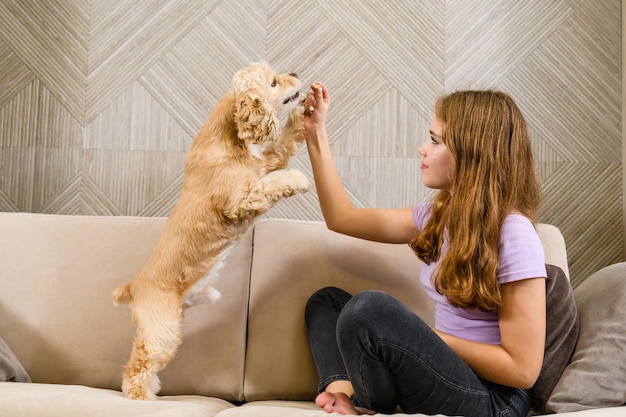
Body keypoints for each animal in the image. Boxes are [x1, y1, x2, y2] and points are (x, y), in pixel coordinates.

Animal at [111, 62, 310, 400]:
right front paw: (299, 179)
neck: (232, 141)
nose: (295, 73)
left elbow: (282, 145)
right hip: (161, 331)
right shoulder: (243, 199)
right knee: (138, 366)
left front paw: (302, 116)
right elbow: (277, 181)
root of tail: (133, 286)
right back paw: (141, 397)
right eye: (273, 82)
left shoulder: (265, 161)